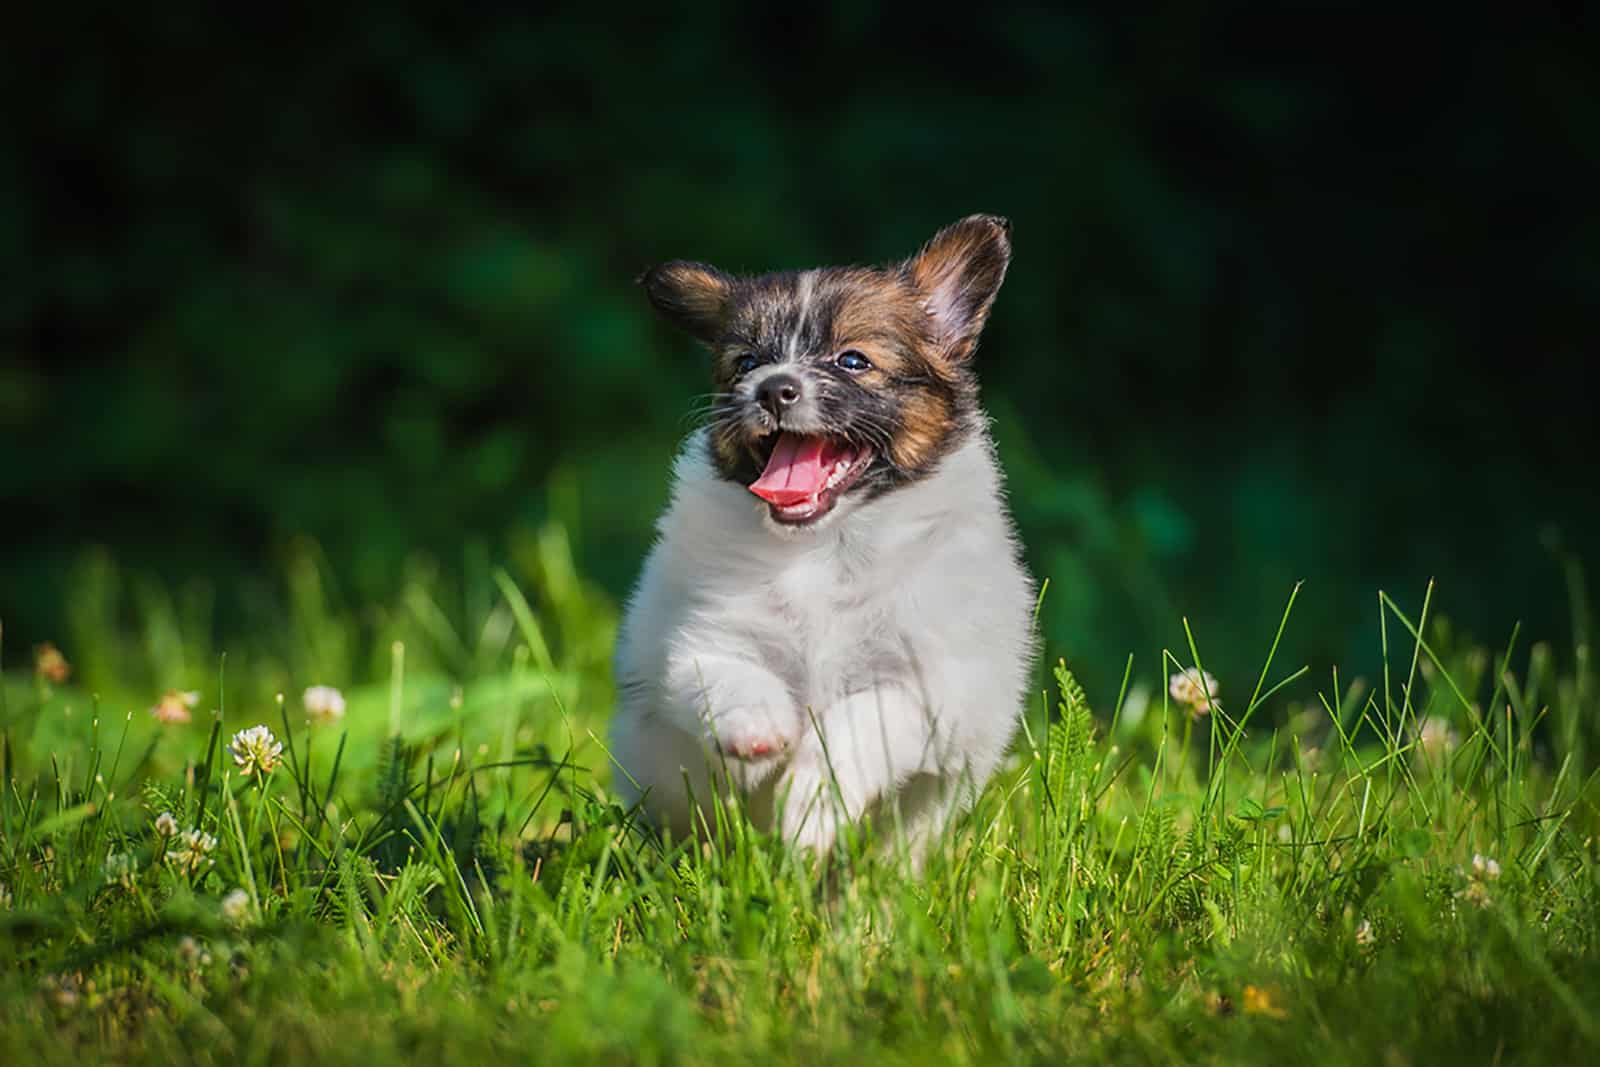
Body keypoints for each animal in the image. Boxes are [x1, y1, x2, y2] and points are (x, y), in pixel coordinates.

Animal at [601, 214, 1036, 857]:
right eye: (746, 363)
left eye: (852, 361)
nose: (772, 388)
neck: (824, 549)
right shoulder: (694, 639)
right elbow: (722, 674)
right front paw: (756, 731)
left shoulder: (930, 686)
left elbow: (858, 724)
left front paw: (811, 803)